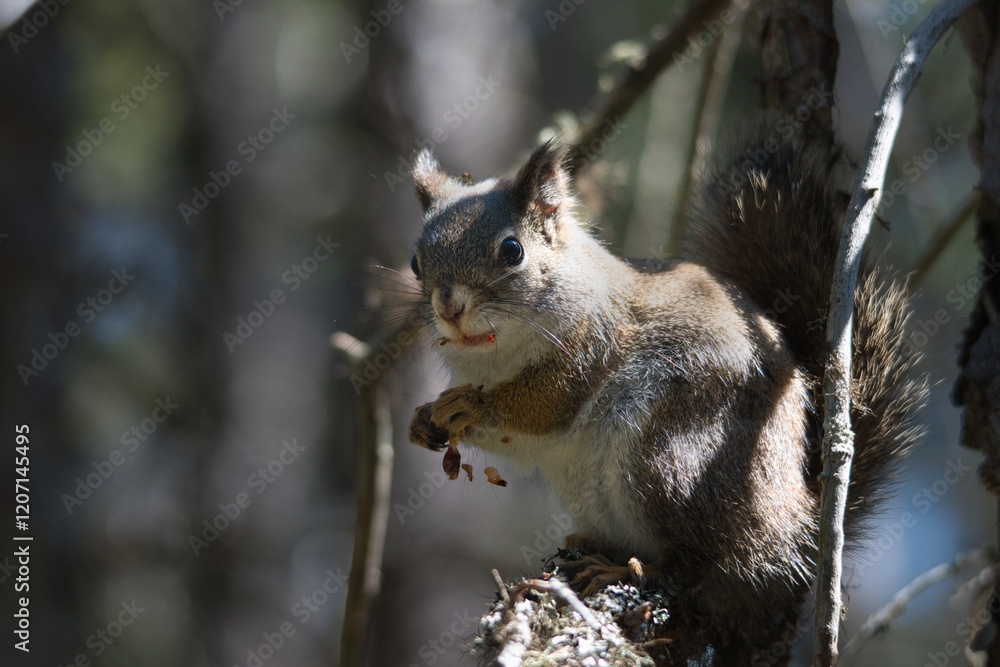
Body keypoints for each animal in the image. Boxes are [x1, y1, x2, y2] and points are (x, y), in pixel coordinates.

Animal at [405, 120, 927, 660]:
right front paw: (423, 422)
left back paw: (620, 570)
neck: (497, 353)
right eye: (416, 262)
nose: (448, 308)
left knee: (694, 565)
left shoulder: (592, 343)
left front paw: (473, 404)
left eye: (512, 251)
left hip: (673, 461)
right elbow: (515, 440)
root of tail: (795, 525)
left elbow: (544, 404)